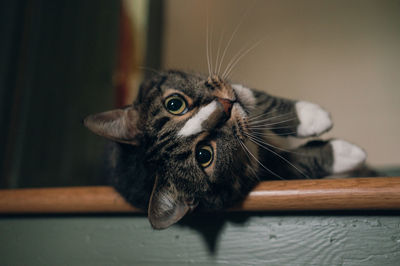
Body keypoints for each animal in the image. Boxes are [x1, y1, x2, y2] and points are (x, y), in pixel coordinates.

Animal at [84, 70, 366, 229]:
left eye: (174, 104)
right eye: (203, 155)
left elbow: (255, 97)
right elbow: (292, 163)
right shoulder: (258, 172)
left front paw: (311, 116)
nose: (226, 107)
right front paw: (345, 154)